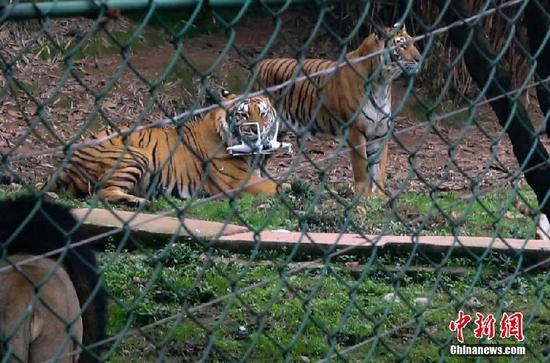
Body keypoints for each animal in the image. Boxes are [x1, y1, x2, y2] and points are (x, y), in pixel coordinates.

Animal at [46, 93, 284, 205]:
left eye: (263, 113)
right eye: (243, 114)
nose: (255, 130)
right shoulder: (239, 183)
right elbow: (278, 186)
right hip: (135, 156)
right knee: (102, 193)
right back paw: (140, 202)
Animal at [254, 24, 422, 198]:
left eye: (413, 43)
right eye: (402, 45)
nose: (419, 58)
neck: (382, 84)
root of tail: (260, 65)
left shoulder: (380, 131)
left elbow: (379, 168)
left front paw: (380, 197)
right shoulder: (355, 130)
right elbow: (361, 166)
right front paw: (364, 195)